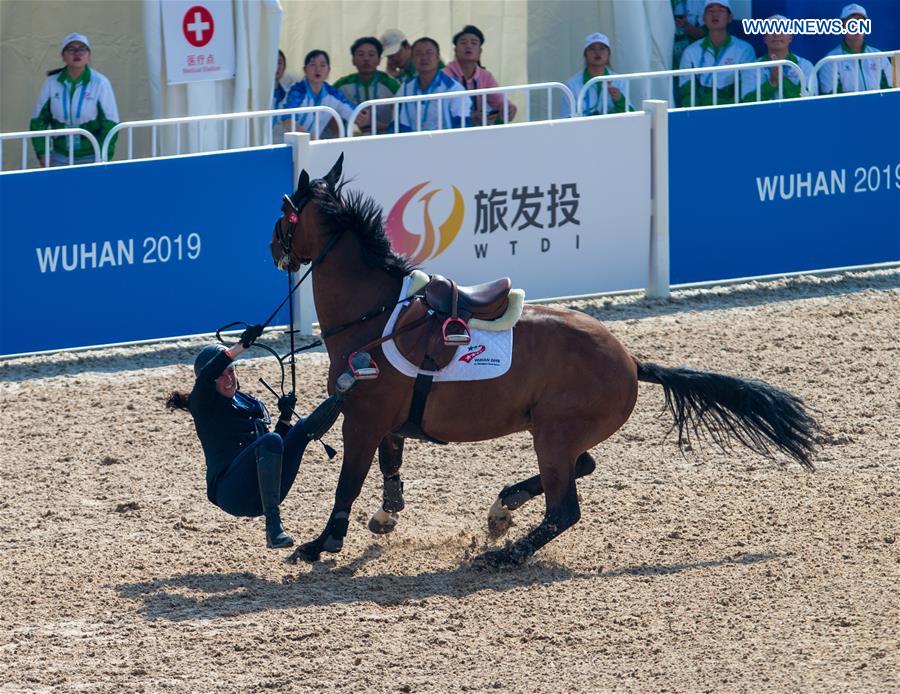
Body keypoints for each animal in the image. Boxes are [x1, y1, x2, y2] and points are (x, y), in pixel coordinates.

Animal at [266, 155, 816, 568]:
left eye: (285, 212)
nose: (273, 247)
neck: (378, 314)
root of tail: (629, 359)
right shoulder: (384, 421)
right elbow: (390, 466)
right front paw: (385, 517)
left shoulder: (362, 419)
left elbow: (349, 482)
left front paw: (321, 543)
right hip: (559, 433)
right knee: (583, 467)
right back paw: (503, 507)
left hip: (553, 433)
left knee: (564, 509)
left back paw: (504, 552)